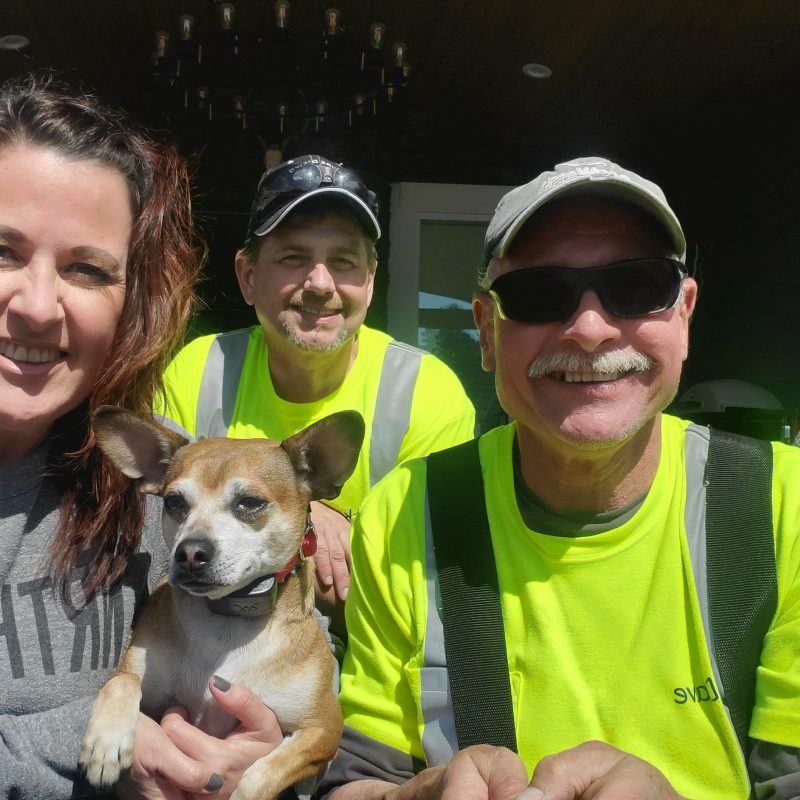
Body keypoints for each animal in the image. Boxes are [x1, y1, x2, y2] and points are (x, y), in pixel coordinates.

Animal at [79, 410, 362, 796]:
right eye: (174, 503)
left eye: (250, 503)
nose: (189, 553)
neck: (226, 622)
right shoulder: (140, 682)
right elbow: (121, 682)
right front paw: (105, 741)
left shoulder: (325, 730)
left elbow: (261, 775)